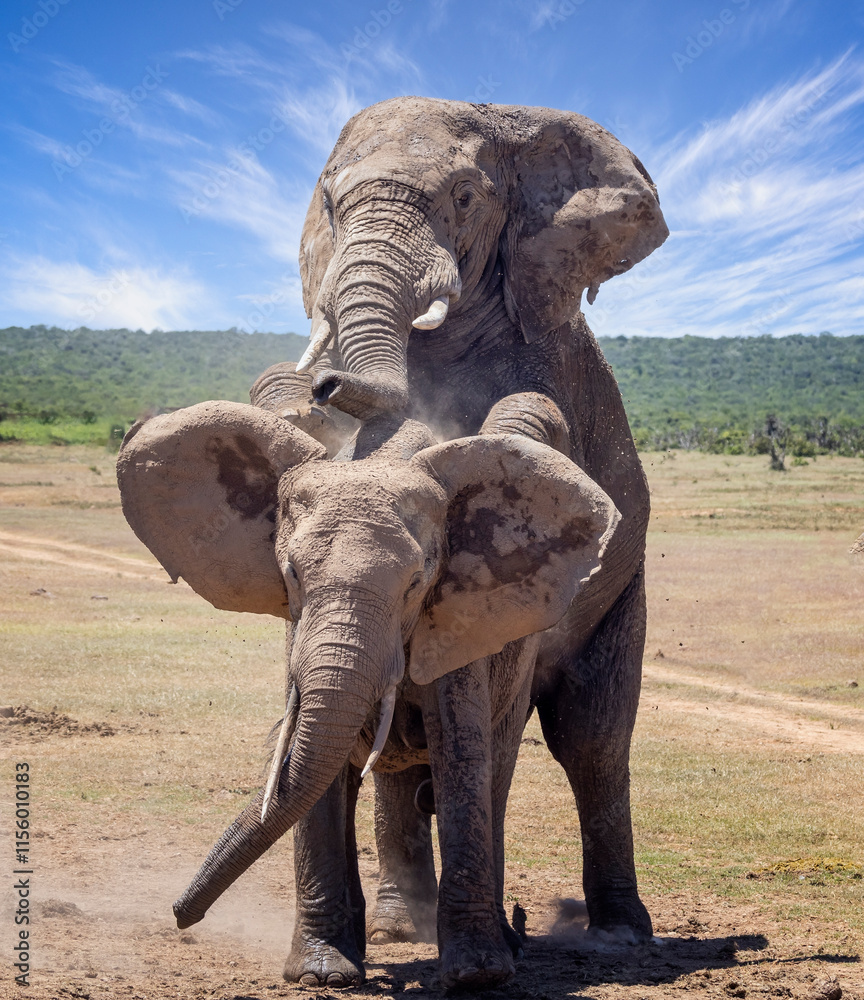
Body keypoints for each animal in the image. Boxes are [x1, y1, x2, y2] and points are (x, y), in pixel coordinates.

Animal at [116, 399, 621, 989]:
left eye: (415, 583)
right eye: (292, 574)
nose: (180, 915)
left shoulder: (456, 622)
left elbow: (461, 757)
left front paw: (476, 975)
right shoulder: (297, 628)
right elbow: (312, 765)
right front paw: (322, 975)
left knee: (496, 770)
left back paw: (503, 944)